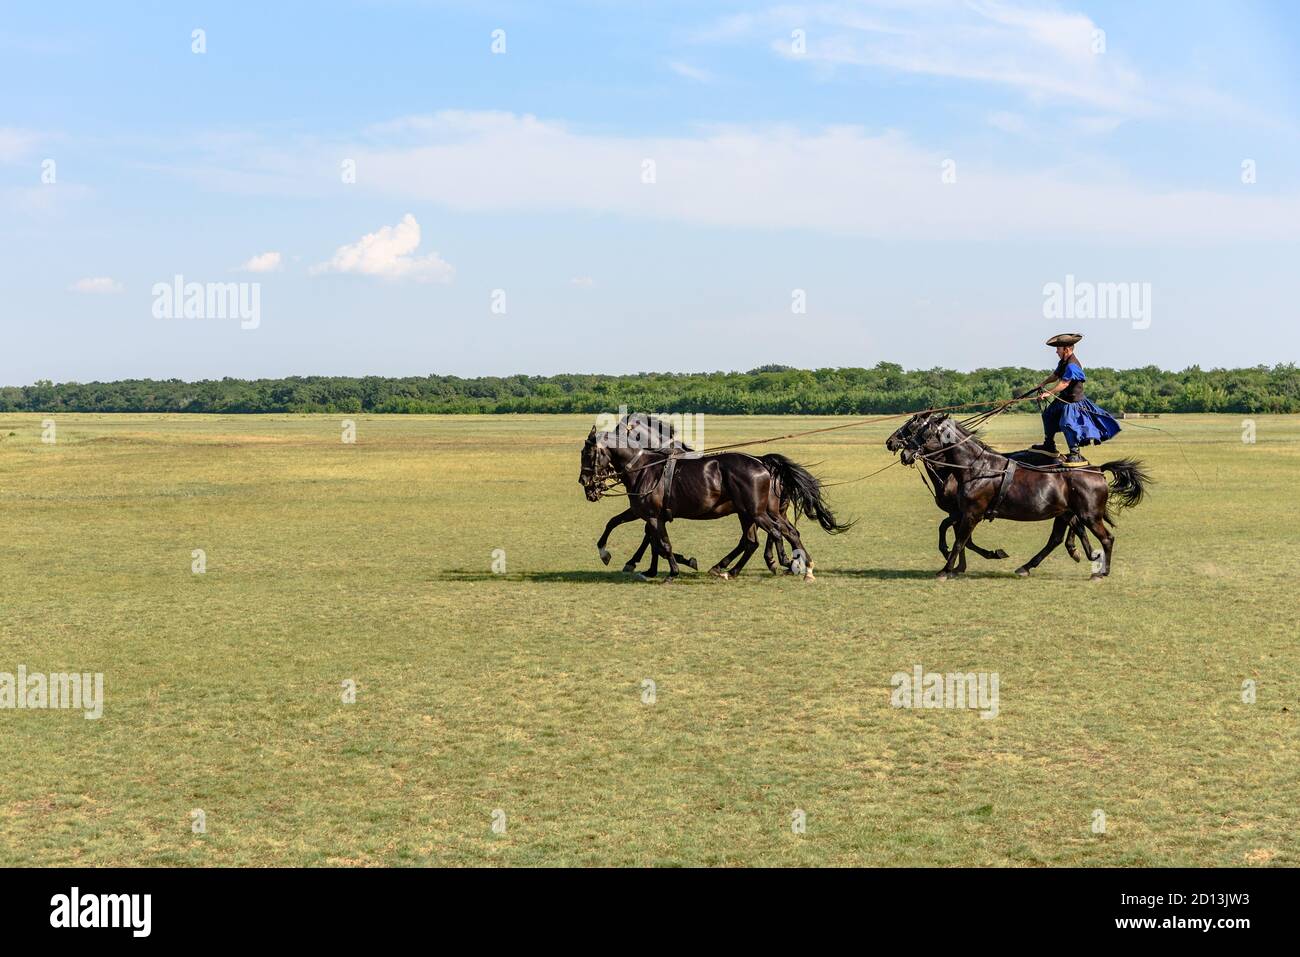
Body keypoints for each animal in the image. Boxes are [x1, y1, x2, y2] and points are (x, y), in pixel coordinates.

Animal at [577, 421, 842, 582]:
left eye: (587, 453)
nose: (585, 482)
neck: (645, 468)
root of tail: (763, 463)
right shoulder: (643, 512)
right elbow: (618, 525)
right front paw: (638, 564)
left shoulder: (652, 515)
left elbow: (662, 543)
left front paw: (672, 571)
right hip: (751, 513)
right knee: (763, 538)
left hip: (756, 512)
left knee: (774, 534)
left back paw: (786, 563)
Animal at [894, 413, 1149, 582]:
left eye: (920, 430)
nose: (901, 450)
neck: (974, 468)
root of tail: (1097, 470)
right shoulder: (961, 513)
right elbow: (953, 534)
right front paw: (958, 565)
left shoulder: (971, 513)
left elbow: (959, 541)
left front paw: (947, 570)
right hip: (1065, 514)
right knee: (1056, 539)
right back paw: (1029, 566)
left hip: (1090, 515)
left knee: (1106, 538)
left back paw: (1101, 572)